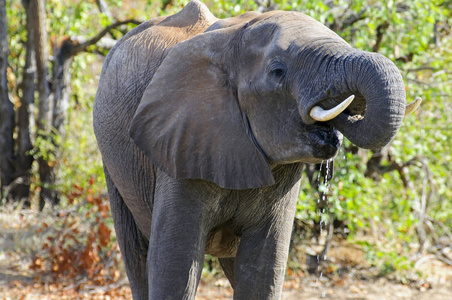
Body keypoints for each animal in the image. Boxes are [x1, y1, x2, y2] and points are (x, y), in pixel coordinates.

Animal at [92, 1, 420, 298]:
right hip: (113, 161)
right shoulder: (181, 146)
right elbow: (175, 266)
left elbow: (263, 268)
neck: (232, 40)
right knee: (137, 255)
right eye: (278, 71)